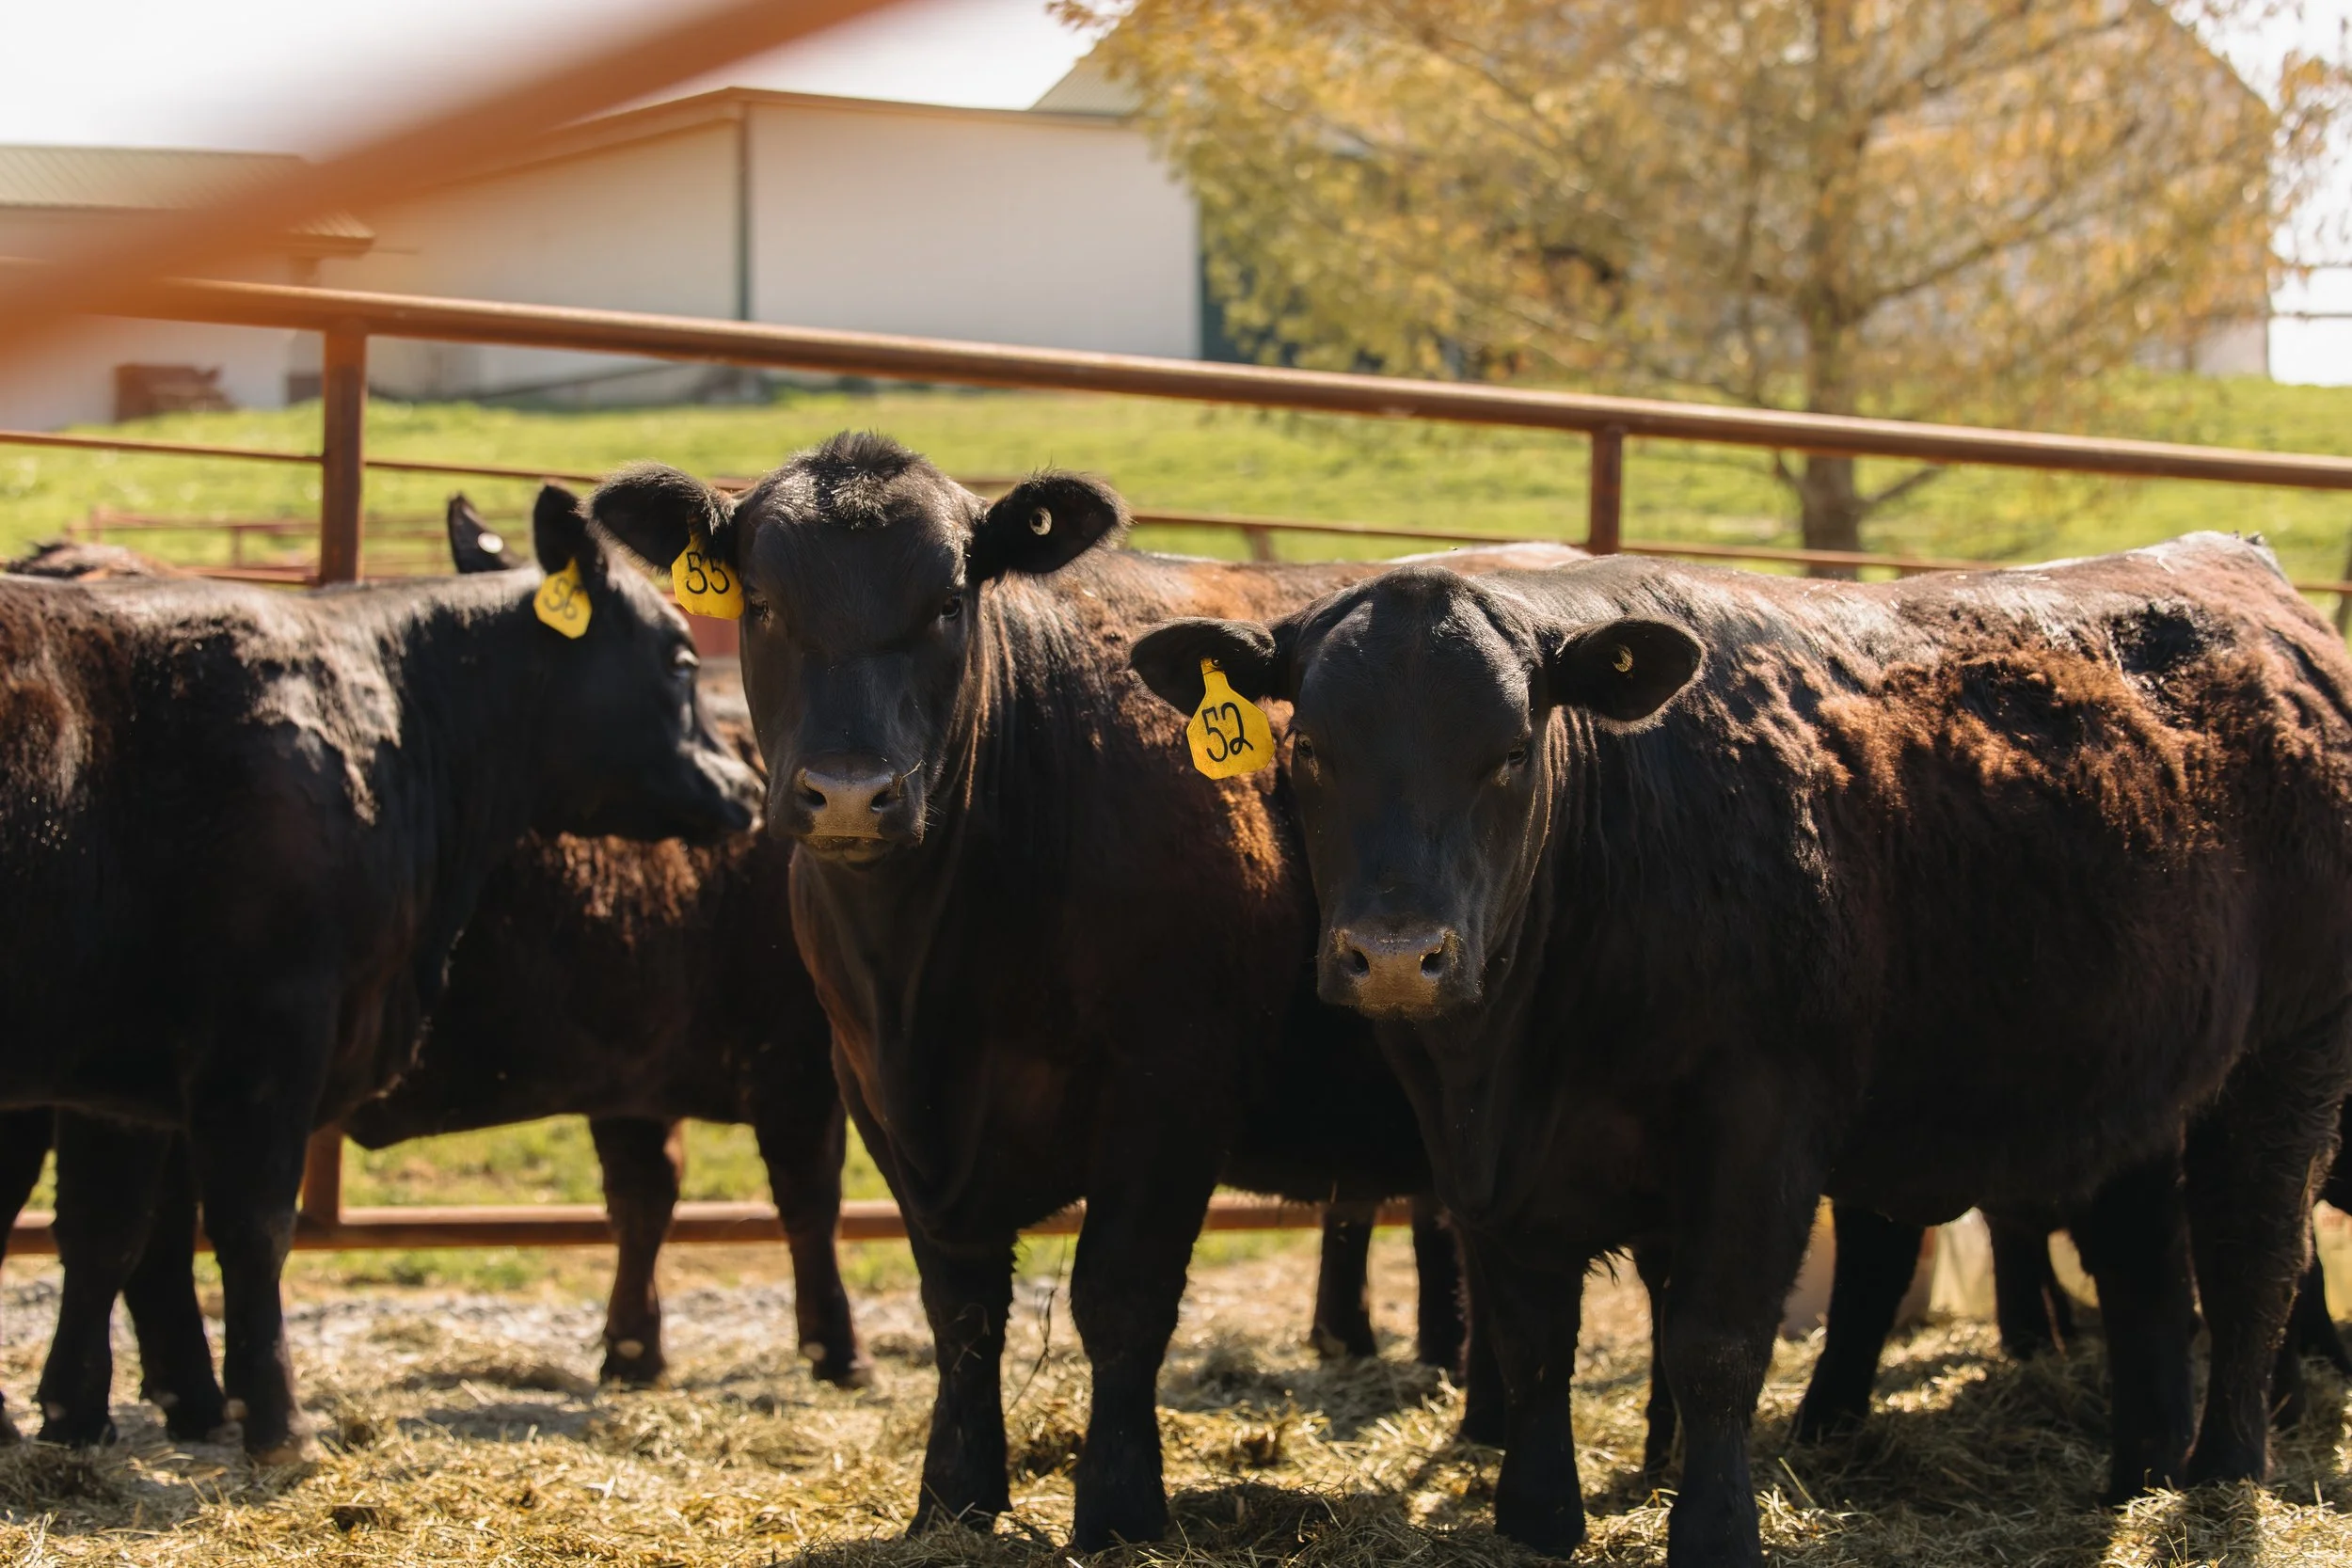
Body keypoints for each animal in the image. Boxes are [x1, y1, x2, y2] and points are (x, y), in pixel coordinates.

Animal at [0, 485, 760, 1462]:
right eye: (679, 656)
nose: (743, 784)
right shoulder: (269, 1038)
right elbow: (253, 1226)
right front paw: (278, 1422)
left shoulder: (119, 1070)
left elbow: (107, 1232)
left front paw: (73, 1415)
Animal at [572, 432, 1590, 1549]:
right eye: (757, 600)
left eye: (948, 601)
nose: (848, 791)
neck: (926, 977)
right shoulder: (882, 1096)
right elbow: (960, 1306)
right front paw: (955, 1496)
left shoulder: (1170, 1088)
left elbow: (1121, 1295)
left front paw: (1117, 1506)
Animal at [1131, 537, 2352, 1566]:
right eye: (1308, 747)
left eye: (1511, 752)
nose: (1396, 953)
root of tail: (2248, 571)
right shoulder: (1483, 1151)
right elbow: (1529, 1338)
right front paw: (1535, 1516)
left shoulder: (1759, 1119)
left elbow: (1712, 1343)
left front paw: (1713, 1529)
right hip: (2137, 1078)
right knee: (2145, 1265)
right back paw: (2139, 1470)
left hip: (2291, 1048)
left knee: (2250, 1254)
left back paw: (2222, 1473)